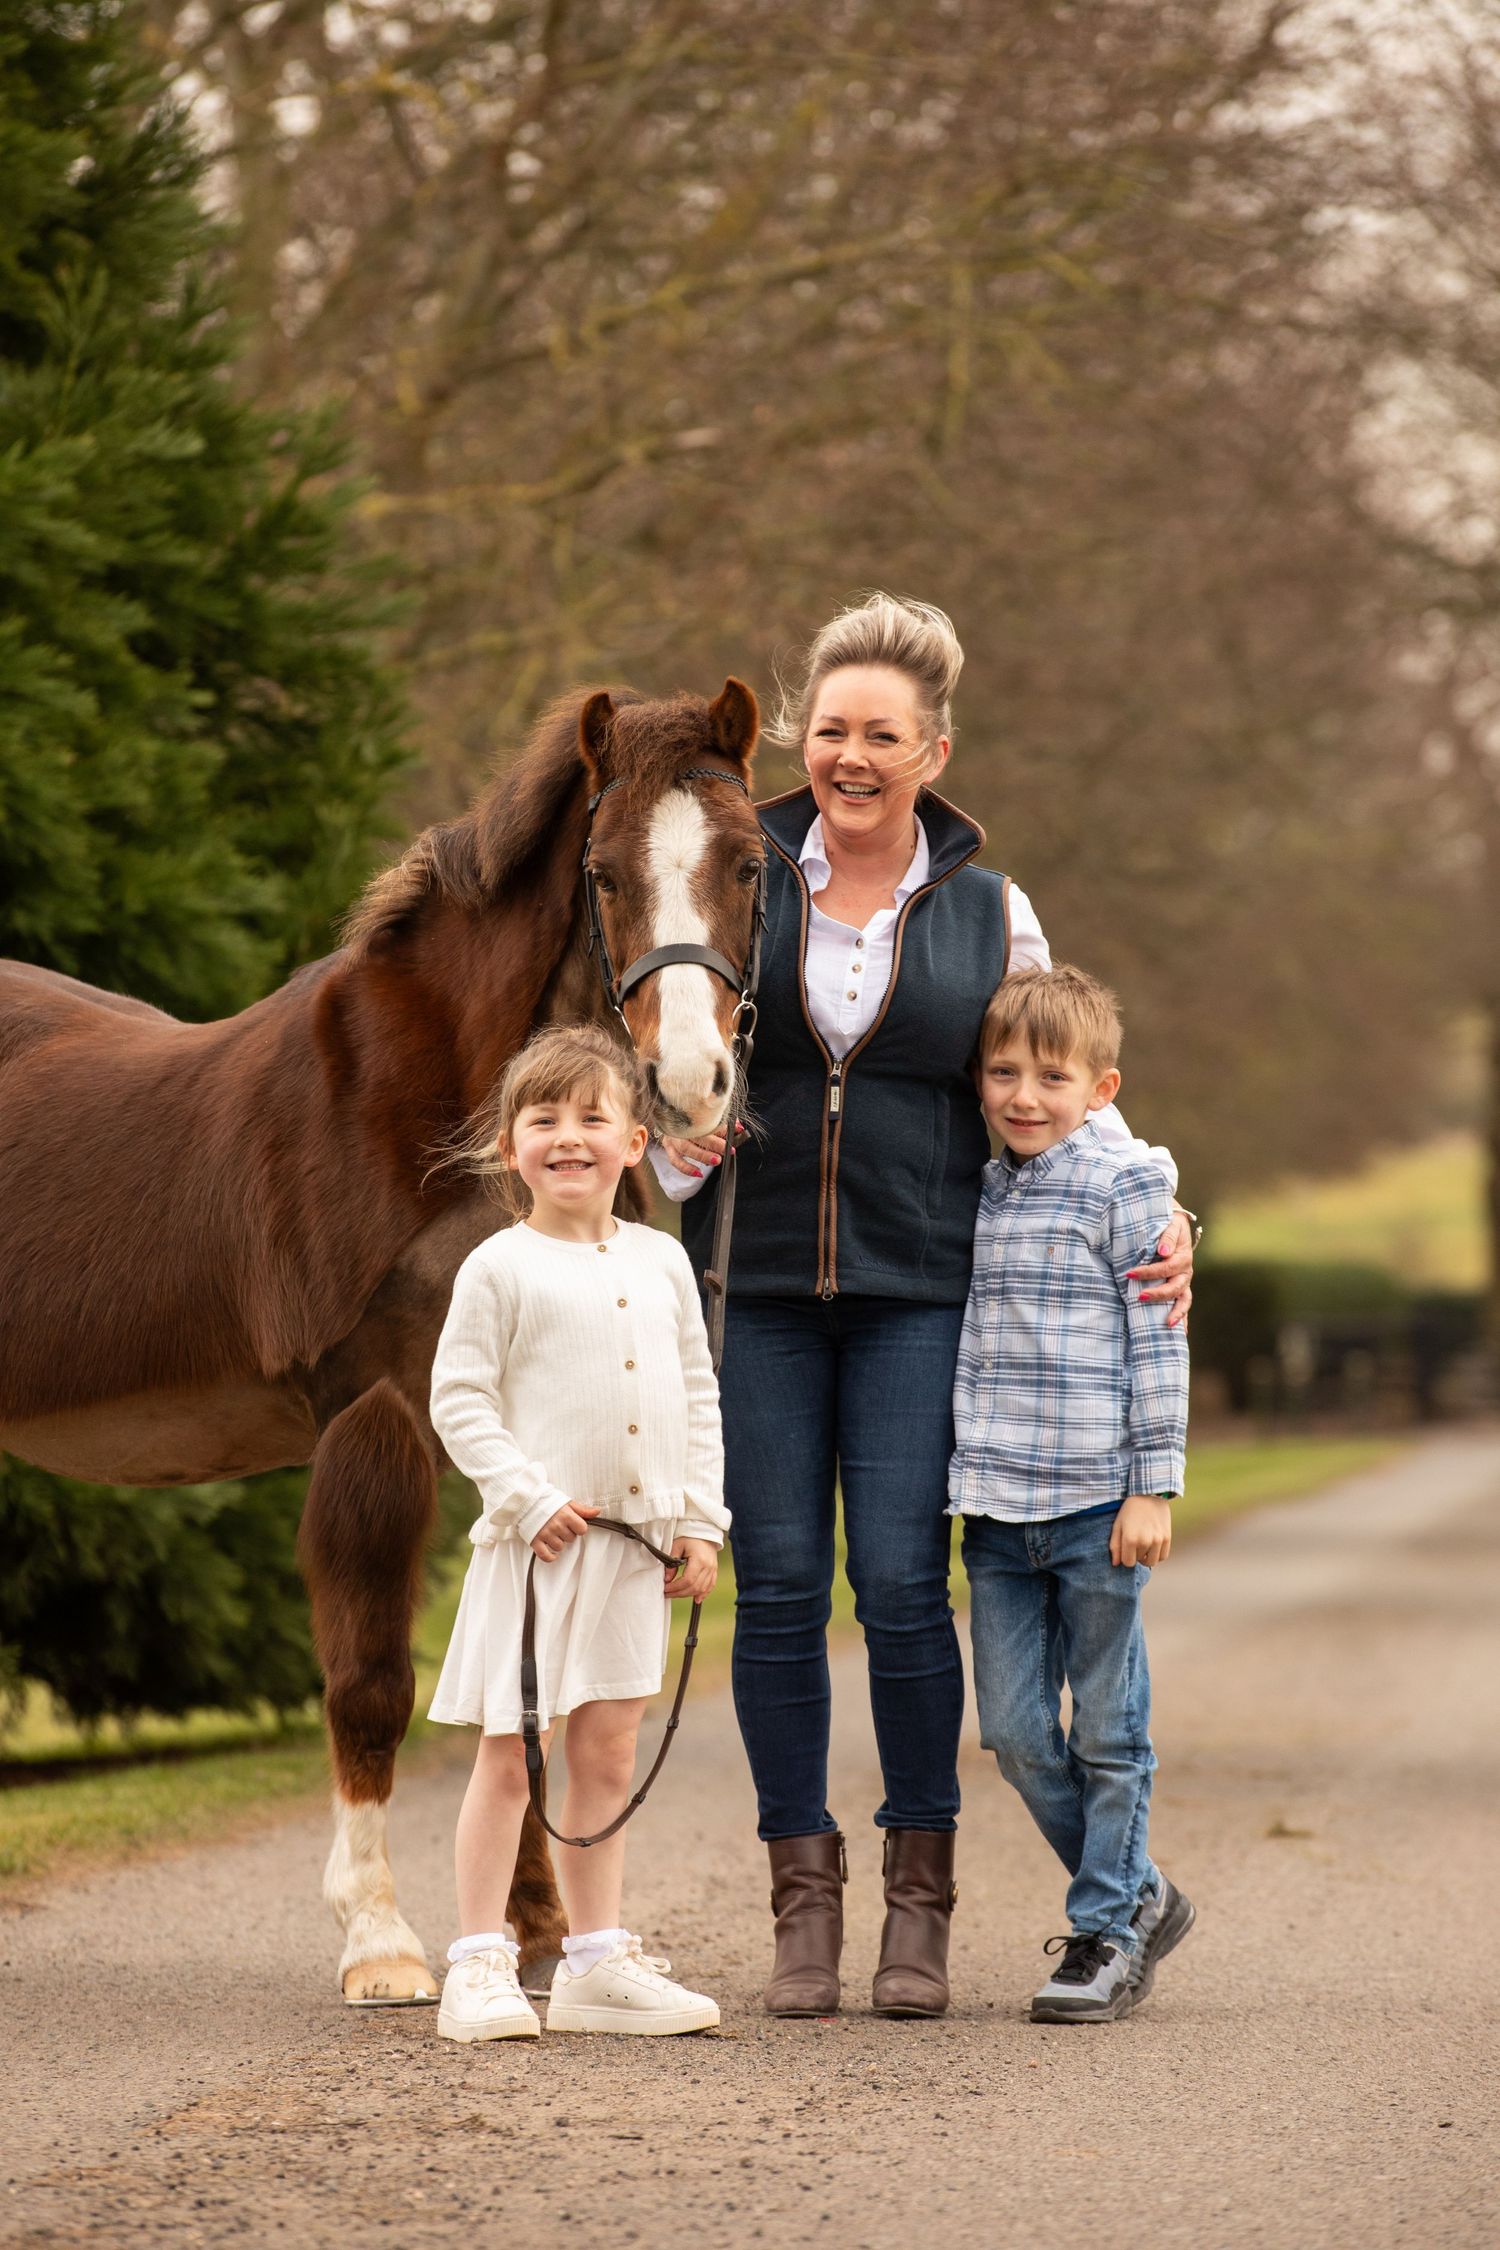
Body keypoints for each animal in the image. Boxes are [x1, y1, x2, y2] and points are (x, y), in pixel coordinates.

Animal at [0, 678, 763, 2004]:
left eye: (752, 864)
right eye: (605, 873)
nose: (687, 1083)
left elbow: (526, 1685)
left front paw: (540, 1931)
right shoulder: (374, 1411)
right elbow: (370, 1684)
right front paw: (383, 1942)